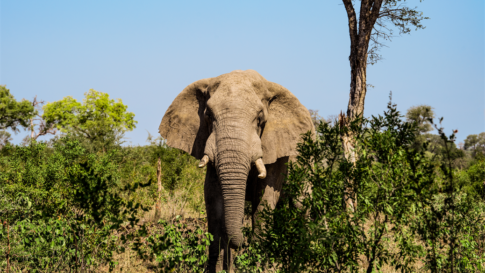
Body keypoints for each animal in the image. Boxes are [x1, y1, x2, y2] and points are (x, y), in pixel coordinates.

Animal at [159, 69, 314, 270]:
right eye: (209, 116)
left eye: (260, 118)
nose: (239, 245)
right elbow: (213, 198)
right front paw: (218, 269)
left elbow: (264, 198)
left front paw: (257, 267)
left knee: (300, 205)